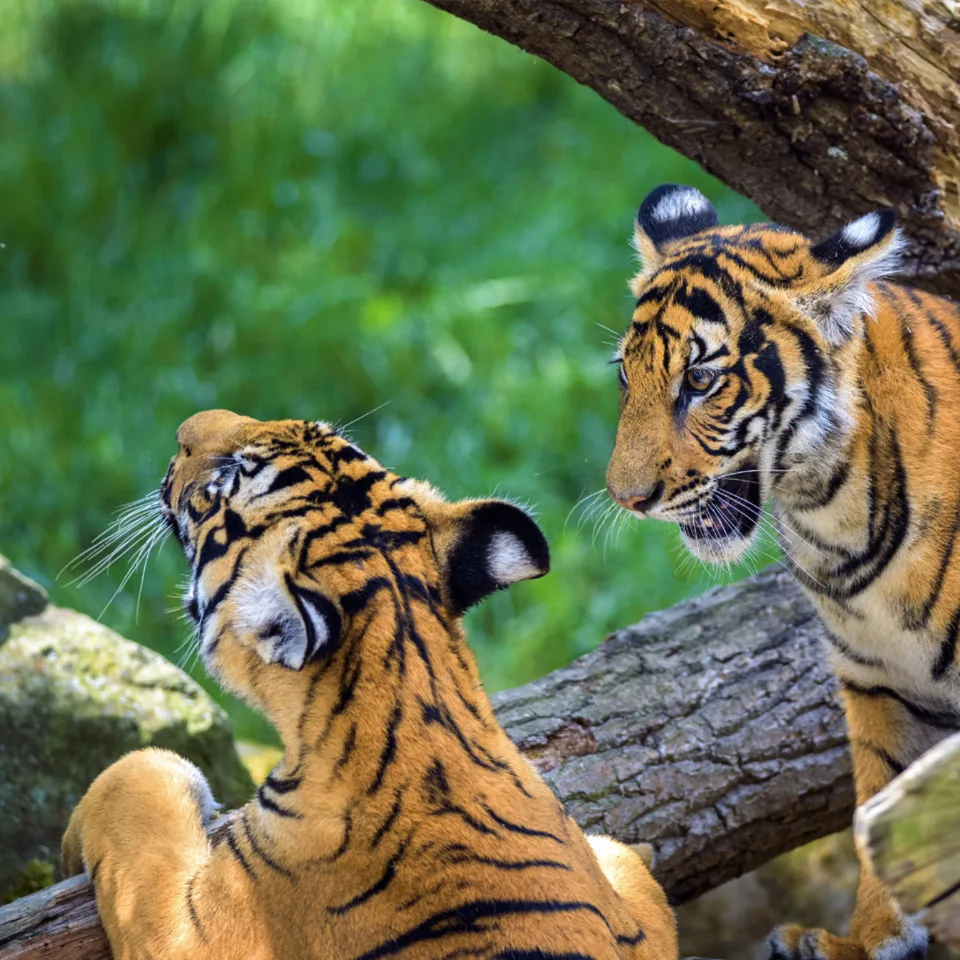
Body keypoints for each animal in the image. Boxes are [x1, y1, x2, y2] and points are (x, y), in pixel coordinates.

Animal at [604, 182, 960, 960]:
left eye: (700, 379)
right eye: (625, 375)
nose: (626, 498)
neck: (831, 514)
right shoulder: (879, 679)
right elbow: (880, 813)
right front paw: (868, 938)